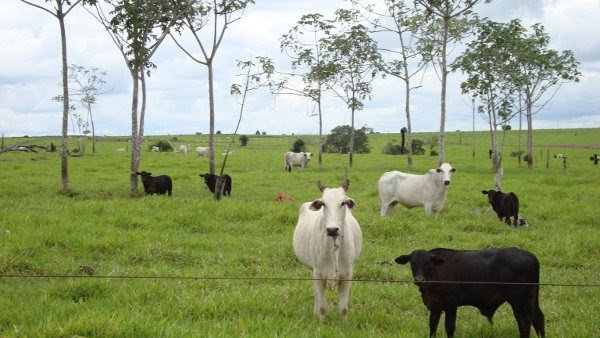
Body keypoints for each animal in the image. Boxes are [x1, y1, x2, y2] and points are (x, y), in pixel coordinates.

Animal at [292, 178, 364, 320]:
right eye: (323, 203)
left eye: (343, 203)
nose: (332, 229)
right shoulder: (319, 274)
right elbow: (322, 306)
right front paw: (321, 322)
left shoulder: (347, 274)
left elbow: (343, 308)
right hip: (313, 269)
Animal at [396, 246, 548, 338]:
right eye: (412, 263)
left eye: (428, 263)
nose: (419, 280)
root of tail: (530, 256)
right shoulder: (435, 305)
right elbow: (432, 325)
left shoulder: (451, 304)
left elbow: (449, 327)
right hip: (531, 297)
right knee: (538, 317)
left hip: (517, 300)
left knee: (524, 322)